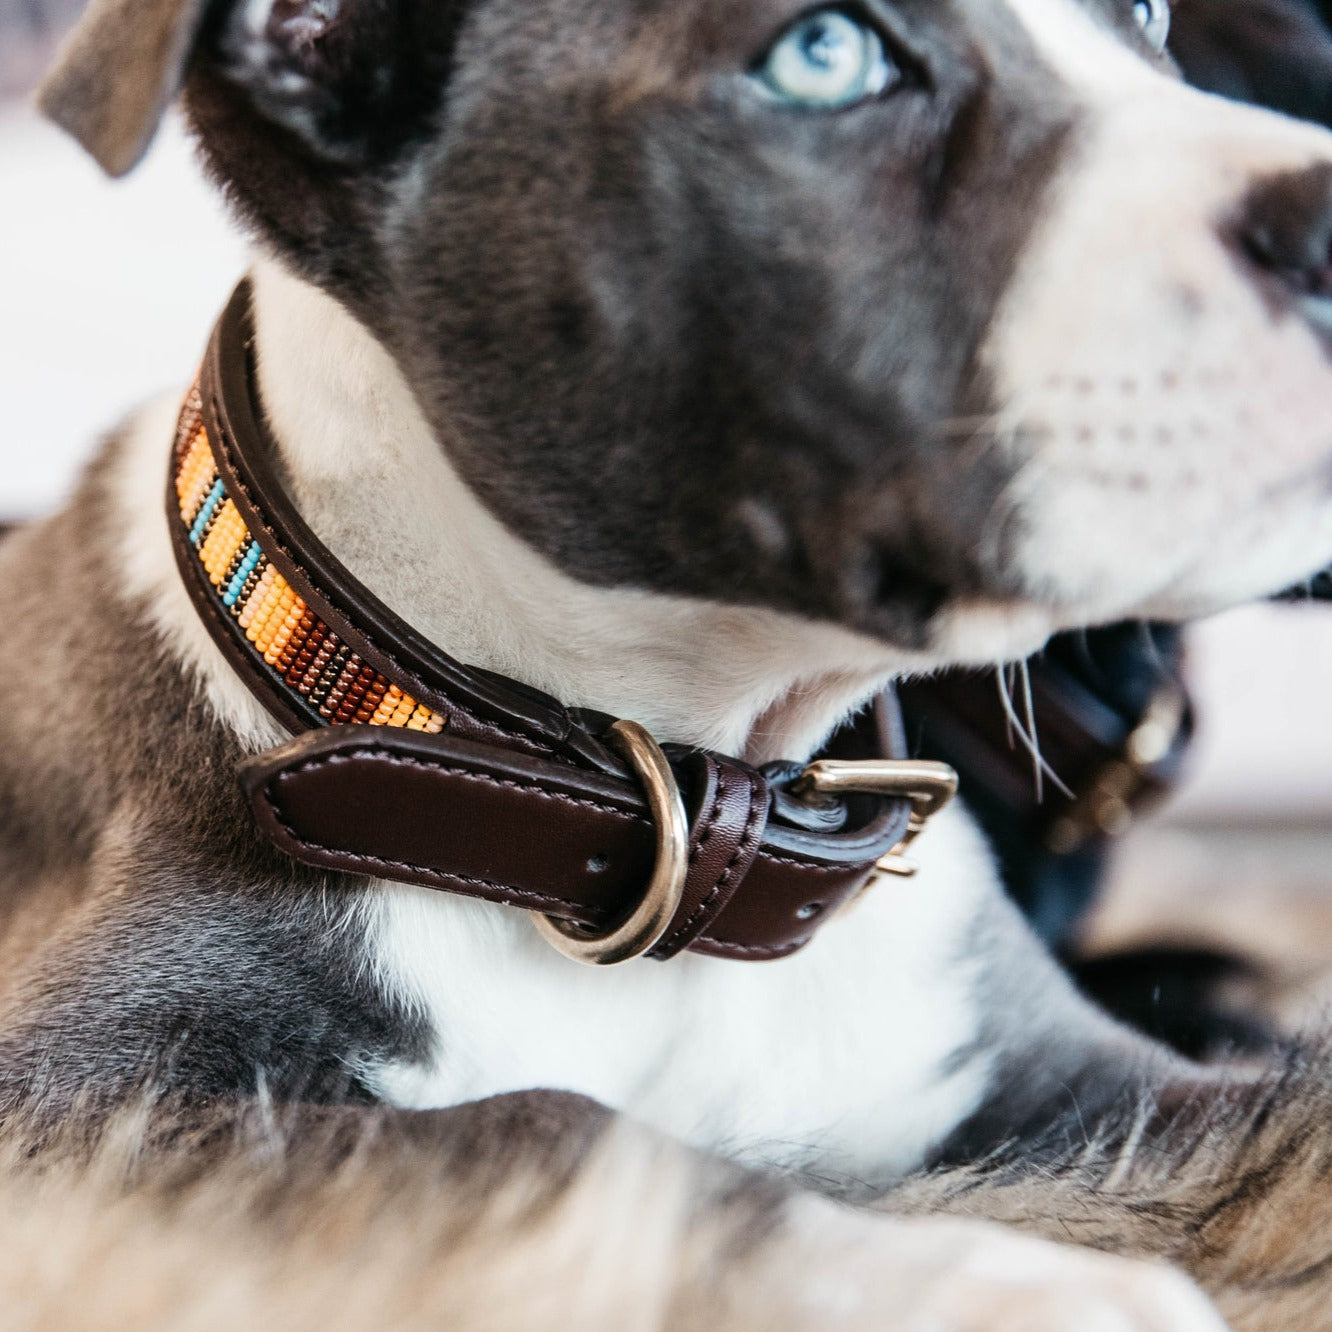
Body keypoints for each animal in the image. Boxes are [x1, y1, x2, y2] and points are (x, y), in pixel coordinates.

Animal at [7, 0, 1332, 1326]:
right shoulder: (82, 1103)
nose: (1325, 218)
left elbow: (1289, 1120)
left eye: (1150, 17)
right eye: (825, 55)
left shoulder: (1071, 1068)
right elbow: (552, 1129)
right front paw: (1011, 1275)